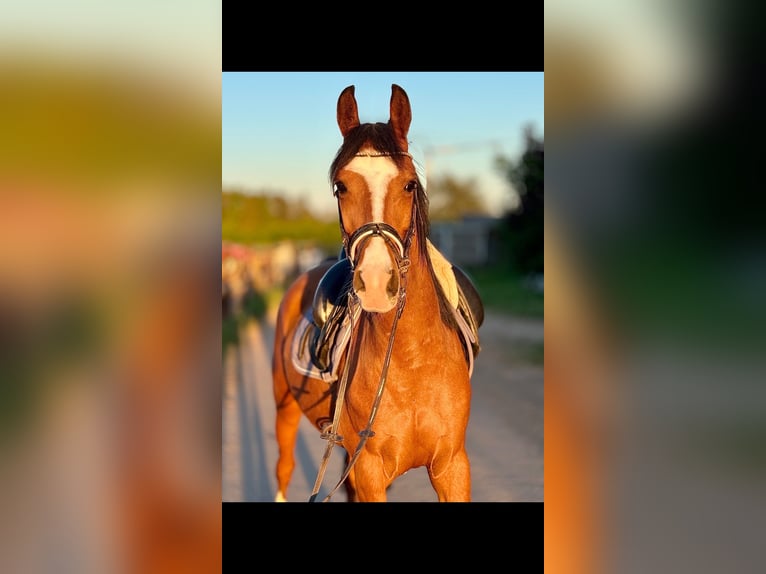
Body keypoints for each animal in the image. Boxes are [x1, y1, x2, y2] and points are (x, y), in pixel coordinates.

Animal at [271, 84, 483, 502]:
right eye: (340, 186)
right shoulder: (369, 469)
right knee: (283, 470)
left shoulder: (452, 466)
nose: (375, 282)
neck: (411, 360)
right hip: (284, 410)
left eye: (409, 184)